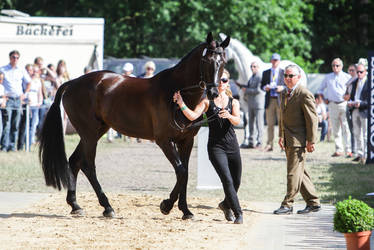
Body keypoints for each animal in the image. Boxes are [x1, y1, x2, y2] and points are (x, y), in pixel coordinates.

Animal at [39, 32, 229, 220]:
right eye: (206, 61)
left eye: (223, 62)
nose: (214, 92)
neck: (175, 92)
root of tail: (72, 83)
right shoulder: (164, 141)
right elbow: (181, 172)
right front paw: (166, 205)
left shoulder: (186, 141)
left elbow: (185, 173)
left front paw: (186, 211)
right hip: (89, 134)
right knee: (88, 166)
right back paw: (107, 207)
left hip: (96, 131)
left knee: (74, 161)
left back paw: (75, 205)